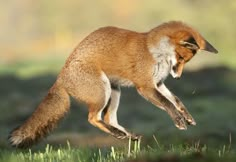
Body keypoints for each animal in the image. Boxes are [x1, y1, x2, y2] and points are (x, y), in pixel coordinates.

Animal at [9, 20, 218, 148]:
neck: (154, 51)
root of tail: (61, 77)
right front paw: (179, 121)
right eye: (181, 58)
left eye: (186, 62)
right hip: (104, 91)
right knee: (93, 118)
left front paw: (187, 117)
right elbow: (168, 104)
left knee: (109, 118)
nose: (178, 78)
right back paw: (118, 134)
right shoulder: (145, 86)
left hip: (115, 92)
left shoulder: (157, 84)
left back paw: (127, 135)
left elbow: (176, 100)